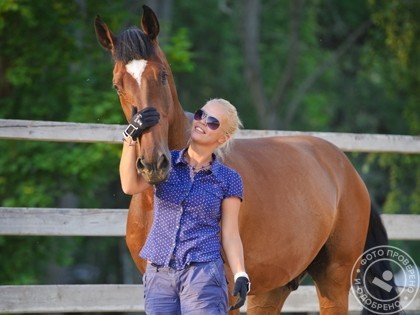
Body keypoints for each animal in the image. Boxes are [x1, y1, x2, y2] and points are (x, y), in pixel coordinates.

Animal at [94, 5, 398, 315]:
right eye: (117, 85)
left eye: (163, 74)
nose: (154, 163)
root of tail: (346, 169)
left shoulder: (226, 298)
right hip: (272, 289)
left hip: (332, 281)